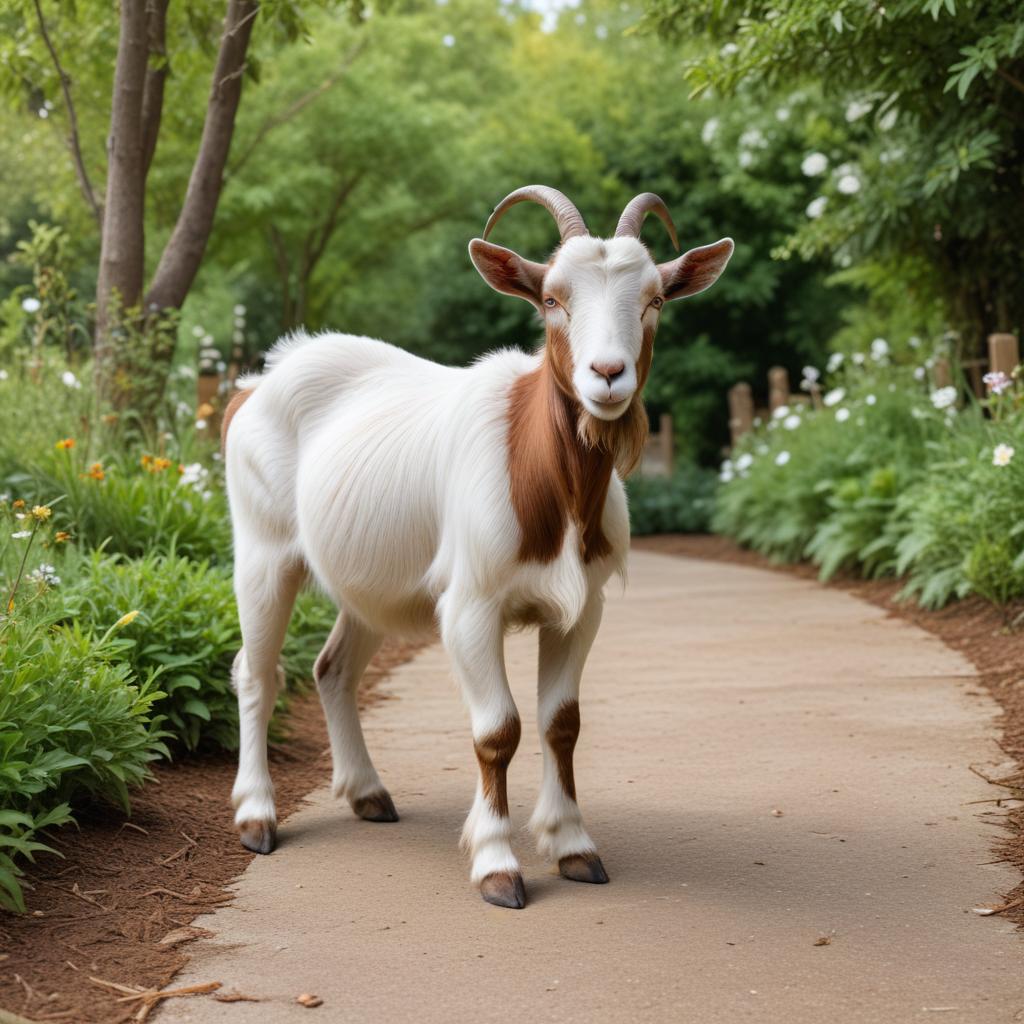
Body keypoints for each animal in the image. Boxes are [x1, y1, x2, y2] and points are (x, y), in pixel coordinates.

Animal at [224, 186, 733, 909]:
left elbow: (561, 723)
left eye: (656, 298)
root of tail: (253, 385)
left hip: (374, 580)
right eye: (551, 297)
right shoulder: (470, 606)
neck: (542, 473)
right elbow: (498, 730)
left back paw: (369, 794)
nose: (608, 374)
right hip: (263, 550)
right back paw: (256, 816)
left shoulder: (584, 608)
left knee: (333, 669)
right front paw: (496, 864)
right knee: (257, 672)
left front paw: (574, 847)